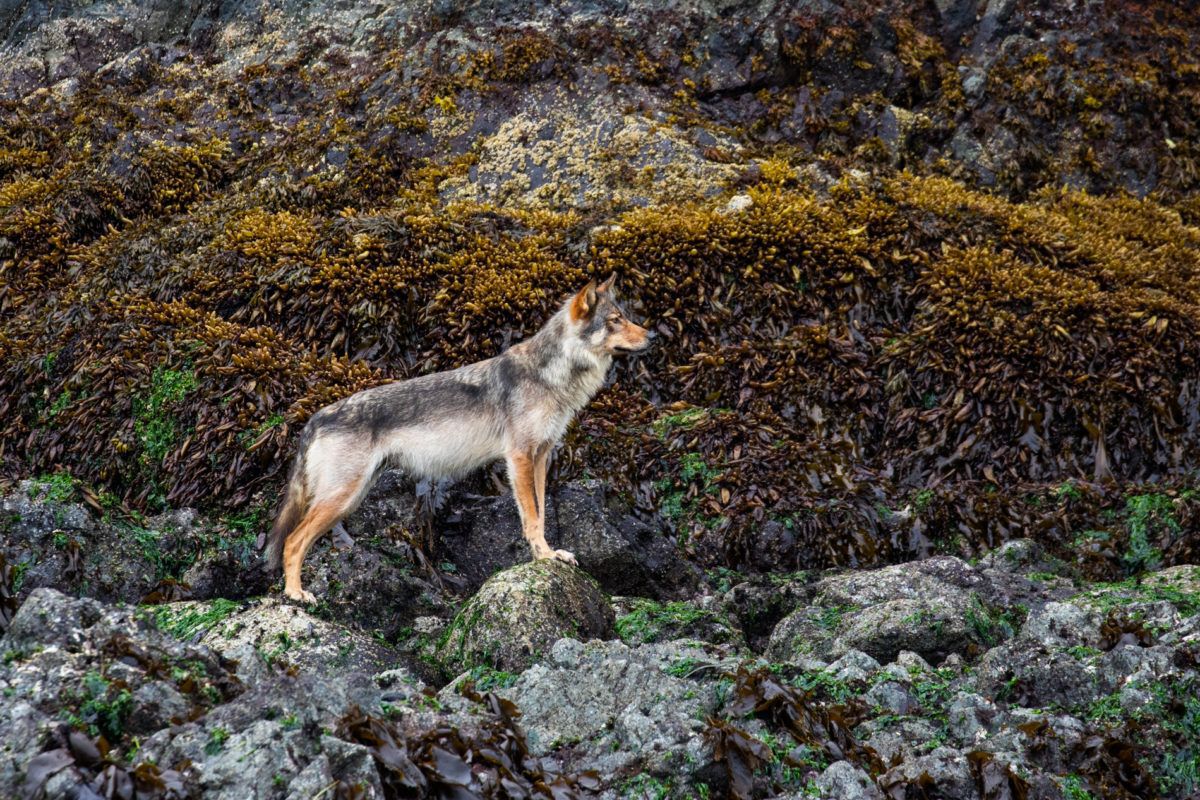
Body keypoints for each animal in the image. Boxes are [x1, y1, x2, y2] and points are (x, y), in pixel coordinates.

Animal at [265, 274, 651, 602]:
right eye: (615, 320)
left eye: (625, 317)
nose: (653, 338)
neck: (551, 375)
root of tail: (316, 417)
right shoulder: (520, 457)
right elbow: (531, 517)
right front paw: (543, 556)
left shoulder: (541, 456)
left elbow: (540, 514)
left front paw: (547, 553)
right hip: (342, 498)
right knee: (293, 542)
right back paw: (295, 594)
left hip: (349, 498)